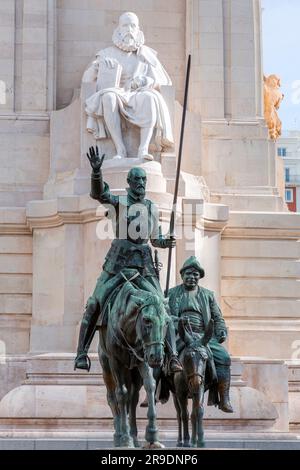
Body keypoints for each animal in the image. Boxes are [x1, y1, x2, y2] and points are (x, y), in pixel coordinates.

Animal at [97, 278, 168, 450]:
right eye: (146, 320)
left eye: (166, 322)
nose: (157, 357)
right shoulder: (115, 362)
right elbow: (121, 394)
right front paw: (125, 438)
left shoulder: (143, 359)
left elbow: (150, 386)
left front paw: (152, 434)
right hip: (107, 368)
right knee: (112, 397)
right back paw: (119, 434)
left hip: (133, 373)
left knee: (133, 398)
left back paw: (134, 436)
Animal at [171, 316, 213, 448]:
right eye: (187, 357)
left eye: (205, 358)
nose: (195, 382)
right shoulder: (180, 393)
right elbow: (185, 414)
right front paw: (186, 440)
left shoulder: (200, 390)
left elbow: (197, 412)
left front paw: (200, 441)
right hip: (175, 396)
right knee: (179, 414)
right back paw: (180, 441)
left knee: (193, 414)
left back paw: (194, 441)